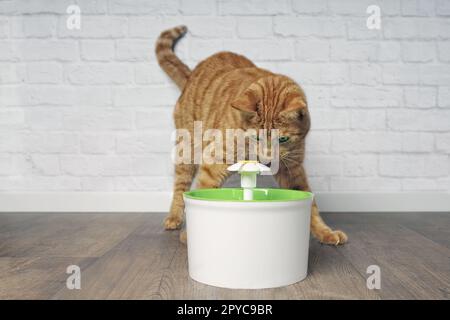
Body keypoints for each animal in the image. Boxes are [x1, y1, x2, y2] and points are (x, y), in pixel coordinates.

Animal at [156, 26, 346, 245]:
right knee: (180, 186)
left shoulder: (293, 168)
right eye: (256, 138)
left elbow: (311, 206)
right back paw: (174, 217)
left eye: (283, 139)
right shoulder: (213, 162)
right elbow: (203, 193)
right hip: (186, 152)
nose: (267, 158)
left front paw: (325, 232)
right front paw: (191, 235)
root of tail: (192, 75)